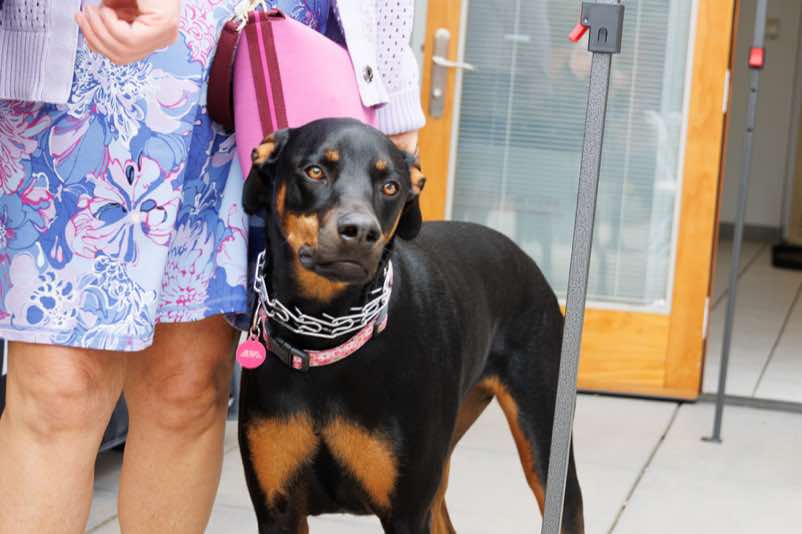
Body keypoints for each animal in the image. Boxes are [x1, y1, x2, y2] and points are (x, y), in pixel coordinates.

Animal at [238, 118, 585, 533]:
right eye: (316, 171)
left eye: (391, 186)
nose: (360, 231)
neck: (326, 337)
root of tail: (524, 258)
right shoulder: (277, 508)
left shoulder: (405, 512)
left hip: (545, 444)